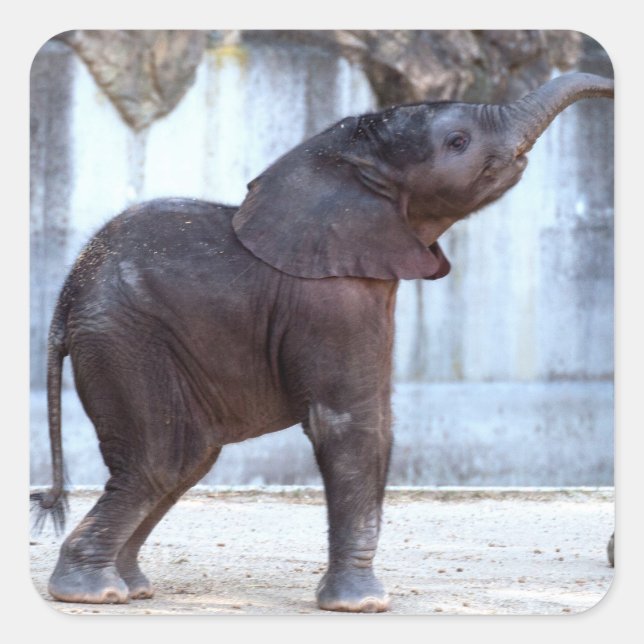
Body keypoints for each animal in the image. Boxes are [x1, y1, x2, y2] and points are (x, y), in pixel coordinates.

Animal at [32, 72, 613, 612]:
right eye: (457, 142)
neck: (346, 161)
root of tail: (64, 299)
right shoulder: (331, 301)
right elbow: (350, 423)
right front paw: (363, 606)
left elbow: (373, 420)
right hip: (125, 340)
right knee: (163, 459)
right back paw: (92, 592)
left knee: (186, 461)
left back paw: (133, 587)